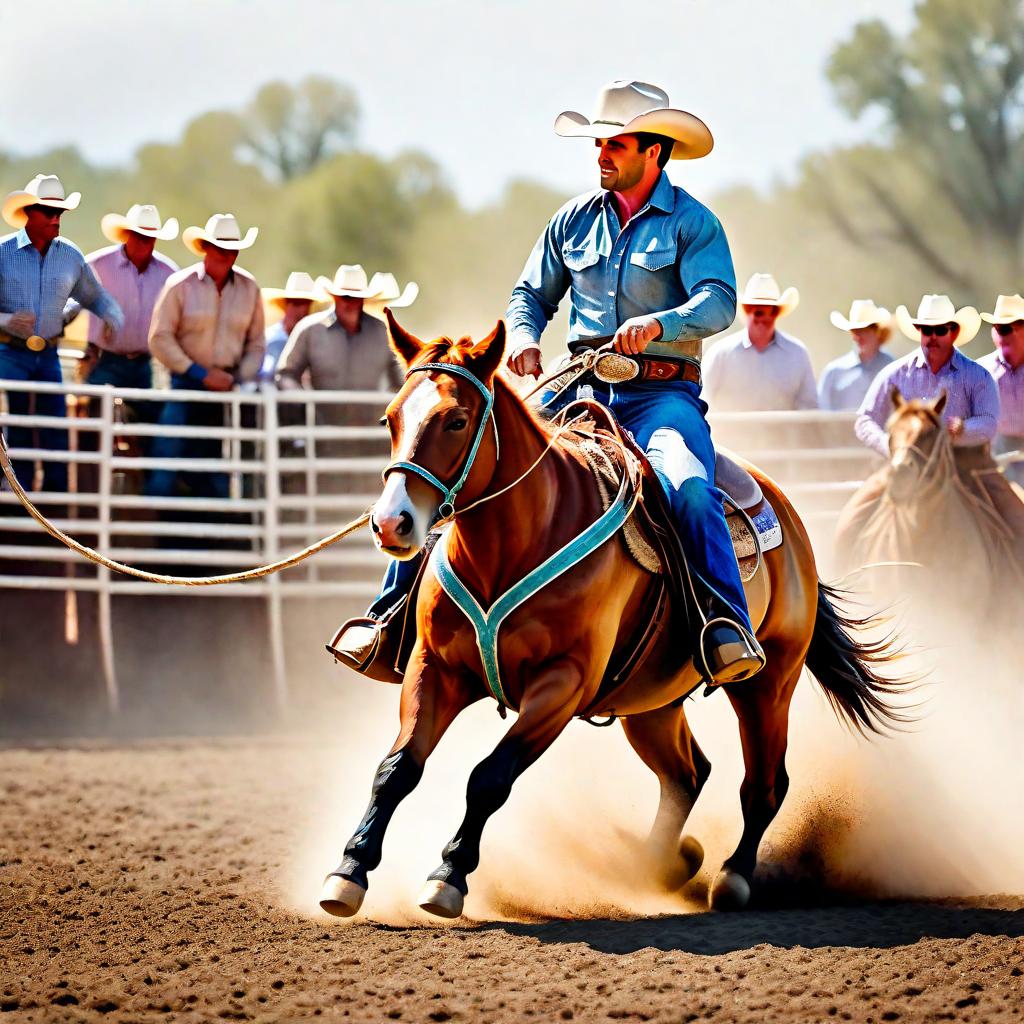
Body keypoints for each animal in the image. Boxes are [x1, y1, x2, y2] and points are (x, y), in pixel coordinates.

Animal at [321, 313, 913, 921]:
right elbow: (396, 769)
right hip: (651, 702)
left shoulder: (561, 684)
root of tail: (788, 519)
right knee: (688, 774)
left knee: (764, 784)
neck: (513, 544)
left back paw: (732, 877)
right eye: (391, 417)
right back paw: (657, 866)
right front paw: (348, 872)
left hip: (768, 684)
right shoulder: (435, 668)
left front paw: (448, 876)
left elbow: (489, 777)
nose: (391, 523)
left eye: (457, 420)